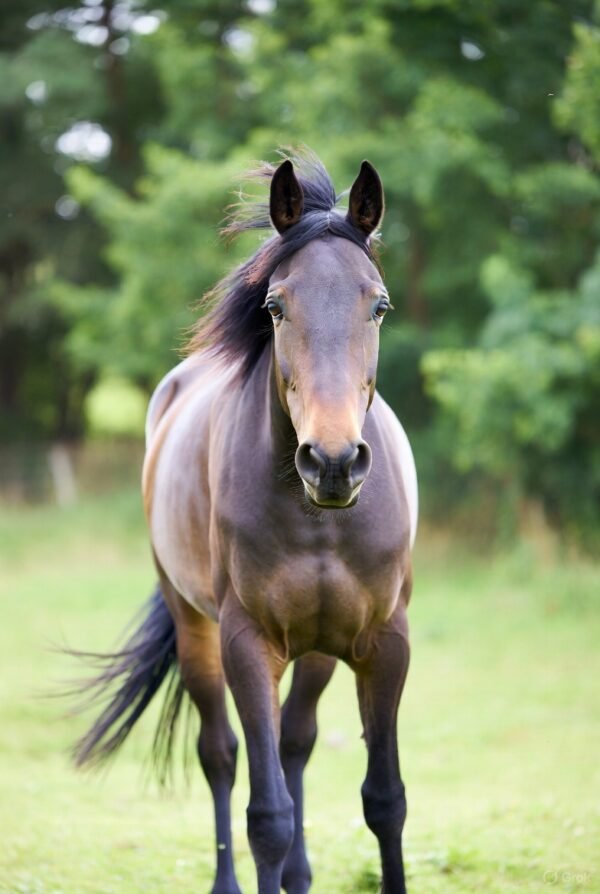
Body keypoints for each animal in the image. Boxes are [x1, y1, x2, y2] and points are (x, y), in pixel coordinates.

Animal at [73, 150, 418, 894]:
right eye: (275, 306)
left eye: (378, 304)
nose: (333, 461)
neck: (320, 519)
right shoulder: (247, 644)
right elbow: (268, 816)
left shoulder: (385, 644)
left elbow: (385, 801)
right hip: (195, 627)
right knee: (222, 754)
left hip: (316, 650)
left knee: (296, 742)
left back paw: (302, 875)